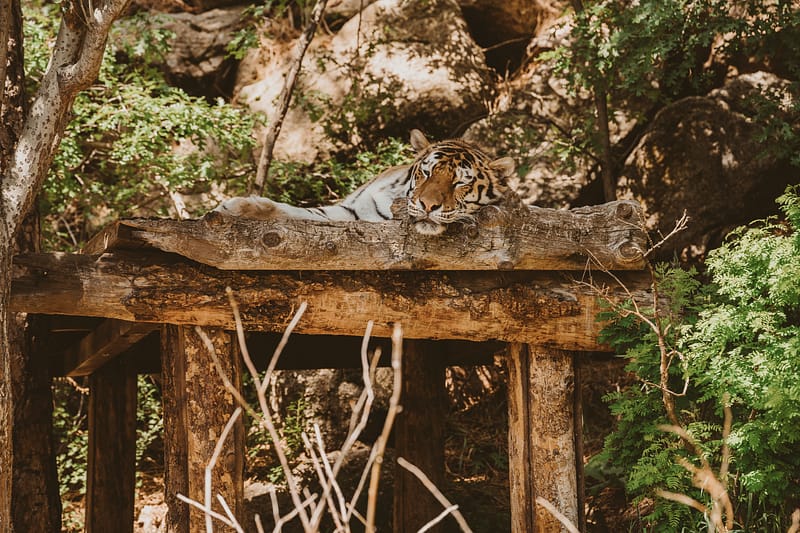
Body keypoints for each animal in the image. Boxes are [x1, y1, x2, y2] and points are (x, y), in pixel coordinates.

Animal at [214, 129, 512, 235]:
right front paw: (234, 208)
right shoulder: (352, 211)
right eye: (427, 173)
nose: (428, 206)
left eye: (460, 183)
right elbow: (303, 213)